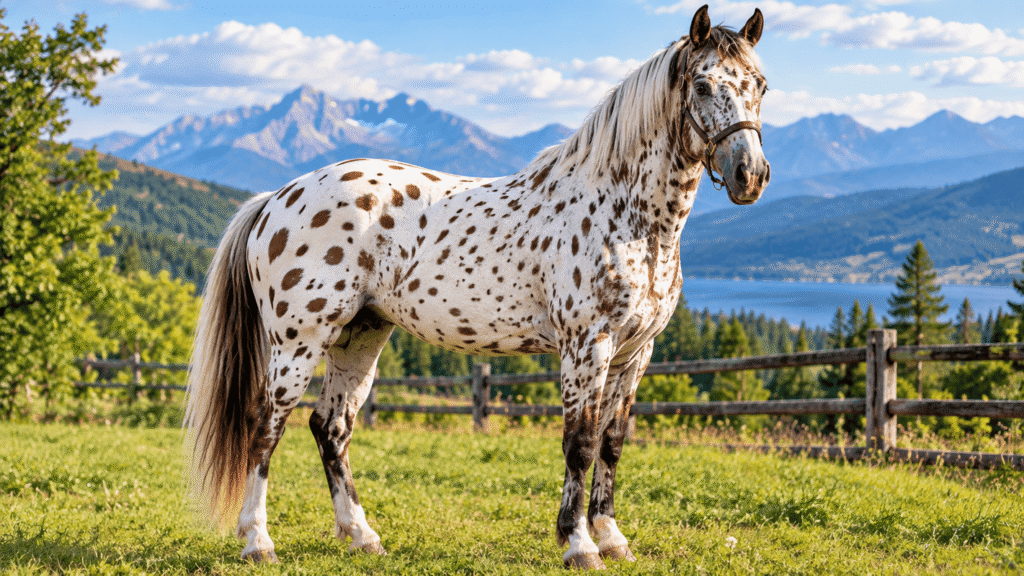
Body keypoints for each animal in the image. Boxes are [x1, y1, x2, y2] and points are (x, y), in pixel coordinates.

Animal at [185, 4, 770, 570]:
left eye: (760, 85)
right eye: (702, 85)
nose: (751, 175)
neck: (626, 214)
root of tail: (277, 197)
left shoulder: (636, 352)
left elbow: (611, 444)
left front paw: (612, 539)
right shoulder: (587, 347)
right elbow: (579, 444)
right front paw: (579, 545)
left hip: (360, 337)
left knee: (330, 428)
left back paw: (362, 537)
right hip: (298, 342)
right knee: (266, 426)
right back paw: (258, 541)